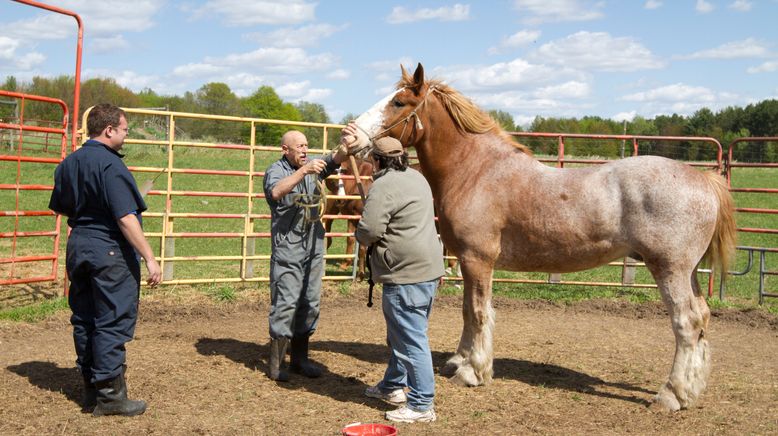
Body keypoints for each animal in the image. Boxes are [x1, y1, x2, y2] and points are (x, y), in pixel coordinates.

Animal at [352, 63, 732, 410]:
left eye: (399, 102)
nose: (352, 136)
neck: (477, 170)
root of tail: (704, 180)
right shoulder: (468, 262)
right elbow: (466, 311)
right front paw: (459, 360)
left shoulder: (478, 259)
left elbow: (478, 312)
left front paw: (473, 372)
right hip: (689, 273)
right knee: (702, 319)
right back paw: (691, 390)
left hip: (670, 270)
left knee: (687, 323)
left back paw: (671, 394)